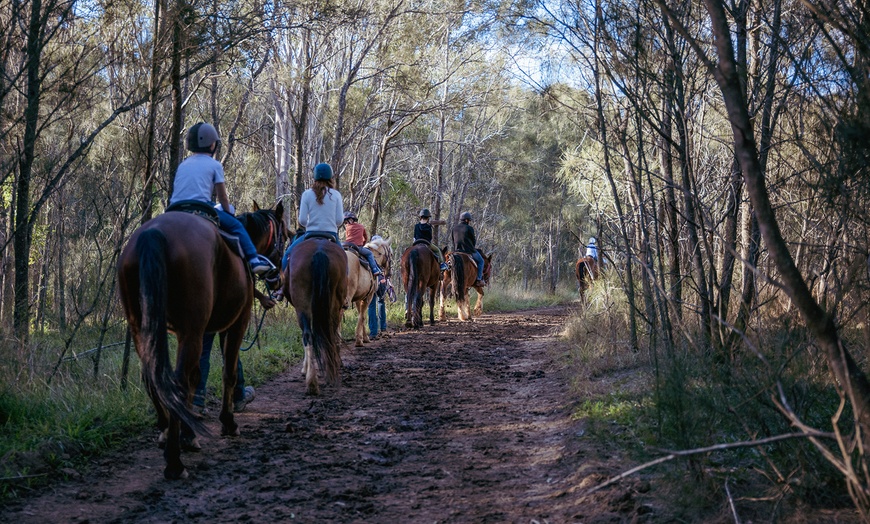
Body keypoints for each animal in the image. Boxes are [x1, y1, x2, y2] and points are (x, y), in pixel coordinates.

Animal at [116, 203, 284, 482]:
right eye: (286, 235)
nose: (278, 278)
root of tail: (153, 234)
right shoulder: (235, 323)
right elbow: (228, 372)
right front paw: (227, 422)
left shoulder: (199, 332)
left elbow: (197, 375)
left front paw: (189, 431)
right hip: (190, 328)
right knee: (176, 380)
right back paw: (174, 462)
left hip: (141, 325)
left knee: (153, 378)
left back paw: (166, 431)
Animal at [282, 235, 346, 396]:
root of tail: (319, 251)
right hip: (331, 305)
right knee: (325, 334)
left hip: (304, 307)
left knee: (309, 335)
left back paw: (312, 381)